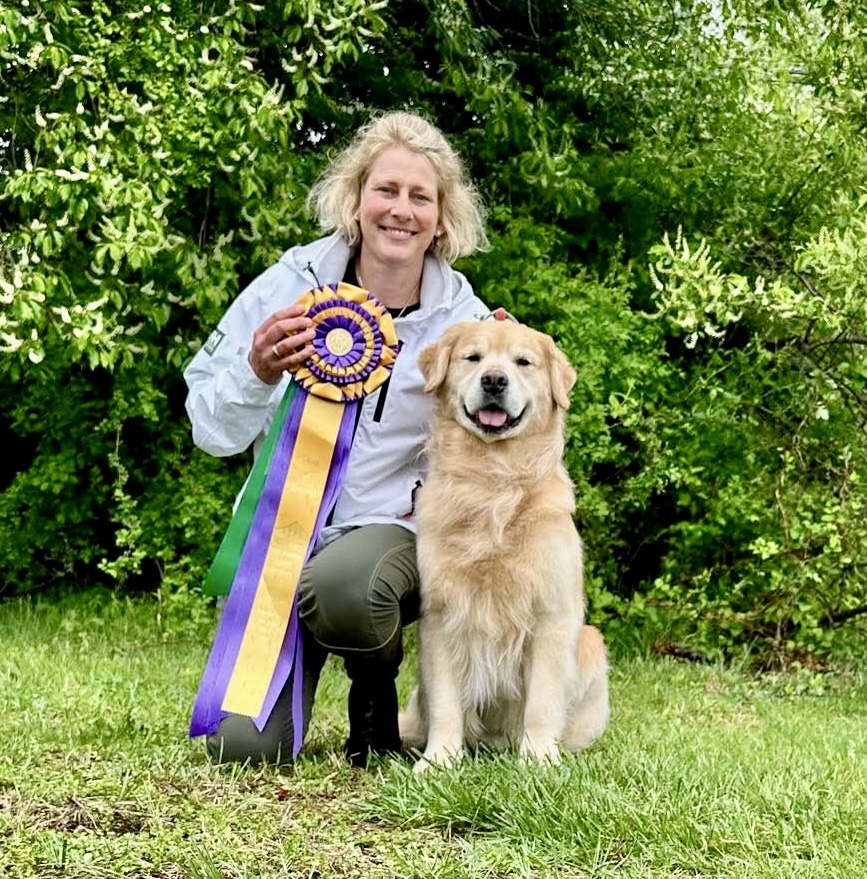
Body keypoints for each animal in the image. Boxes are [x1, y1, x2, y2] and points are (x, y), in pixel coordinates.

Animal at [399, 318, 610, 771]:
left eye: (523, 362)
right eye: (473, 357)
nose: (494, 380)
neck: (492, 482)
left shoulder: (551, 615)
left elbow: (542, 701)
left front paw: (539, 758)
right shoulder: (440, 615)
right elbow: (445, 702)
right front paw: (439, 760)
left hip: (591, 641)